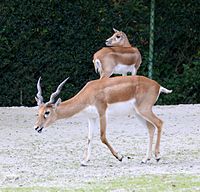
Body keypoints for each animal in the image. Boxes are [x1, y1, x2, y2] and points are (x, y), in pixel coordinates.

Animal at [34, 75, 172, 165]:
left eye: (47, 112)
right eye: (38, 112)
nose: (36, 127)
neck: (88, 94)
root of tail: (158, 86)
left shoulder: (102, 113)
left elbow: (102, 137)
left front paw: (120, 157)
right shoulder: (91, 118)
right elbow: (89, 138)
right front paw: (85, 161)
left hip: (144, 110)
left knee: (159, 123)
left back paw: (157, 156)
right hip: (138, 113)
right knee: (151, 128)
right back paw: (145, 159)